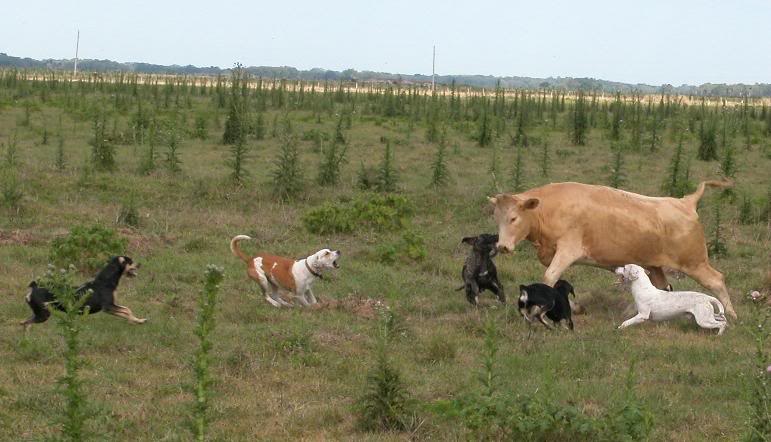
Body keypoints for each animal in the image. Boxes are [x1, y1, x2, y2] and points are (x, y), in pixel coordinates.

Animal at [488, 180, 737, 319]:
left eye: (513, 218)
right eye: (496, 218)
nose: (502, 246)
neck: (548, 209)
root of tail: (686, 202)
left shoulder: (568, 250)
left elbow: (549, 277)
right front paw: (576, 308)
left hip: (694, 263)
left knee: (716, 280)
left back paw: (731, 315)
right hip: (656, 266)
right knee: (662, 287)